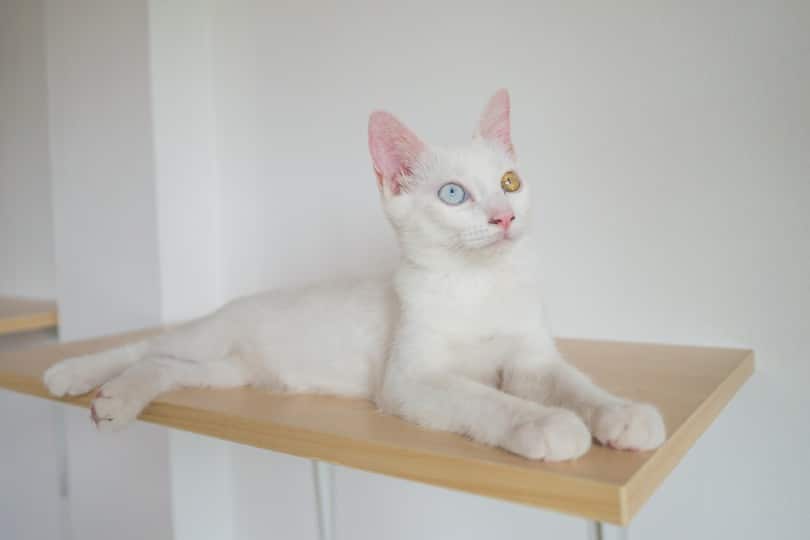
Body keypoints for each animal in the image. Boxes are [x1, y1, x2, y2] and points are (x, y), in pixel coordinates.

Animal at [42, 90, 664, 462]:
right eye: (453, 194)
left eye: (510, 183)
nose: (504, 216)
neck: (479, 285)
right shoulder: (411, 381)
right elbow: (488, 400)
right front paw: (549, 426)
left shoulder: (532, 360)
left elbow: (576, 384)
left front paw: (622, 414)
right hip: (208, 339)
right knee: (144, 347)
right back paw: (77, 376)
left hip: (227, 372)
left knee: (164, 366)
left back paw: (116, 398)